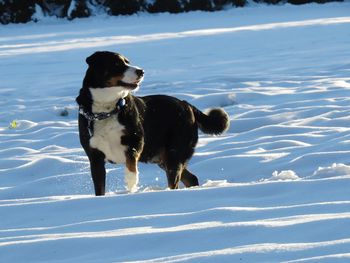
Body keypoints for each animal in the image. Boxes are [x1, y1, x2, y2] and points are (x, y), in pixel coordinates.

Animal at [76, 51, 230, 196]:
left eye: (127, 62)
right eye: (117, 64)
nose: (141, 71)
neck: (106, 110)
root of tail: (187, 105)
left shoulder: (134, 143)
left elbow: (131, 169)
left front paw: (131, 186)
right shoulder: (95, 157)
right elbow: (99, 188)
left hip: (174, 155)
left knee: (175, 181)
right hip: (164, 158)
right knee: (191, 178)